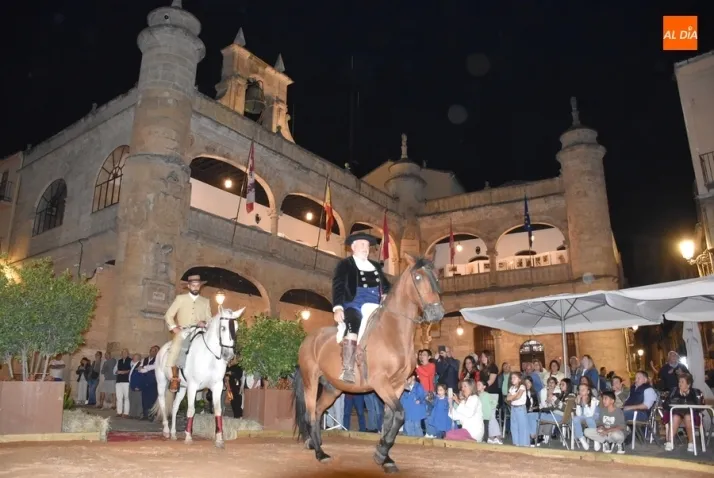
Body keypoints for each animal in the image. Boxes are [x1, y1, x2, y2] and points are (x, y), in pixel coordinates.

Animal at [150, 307, 245, 448]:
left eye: (237, 328)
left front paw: (219, 439)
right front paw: (188, 437)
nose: (228, 355)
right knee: (162, 403)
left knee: (175, 407)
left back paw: (173, 433)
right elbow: (191, 410)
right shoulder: (193, 386)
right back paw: (166, 431)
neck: (209, 357)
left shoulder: (217, 386)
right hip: (162, 382)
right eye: (223, 328)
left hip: (182, 388)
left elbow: (218, 410)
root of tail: (163, 348)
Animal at [293, 253, 445, 473]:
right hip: (310, 382)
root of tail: (308, 339)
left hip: (332, 388)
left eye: (436, 276)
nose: (437, 313)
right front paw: (381, 452)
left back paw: (317, 443)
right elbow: (400, 414)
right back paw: (320, 454)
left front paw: (385, 456)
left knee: (319, 410)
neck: (392, 332)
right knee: (310, 415)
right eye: (417, 277)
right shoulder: (380, 383)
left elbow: (390, 419)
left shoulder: (397, 385)